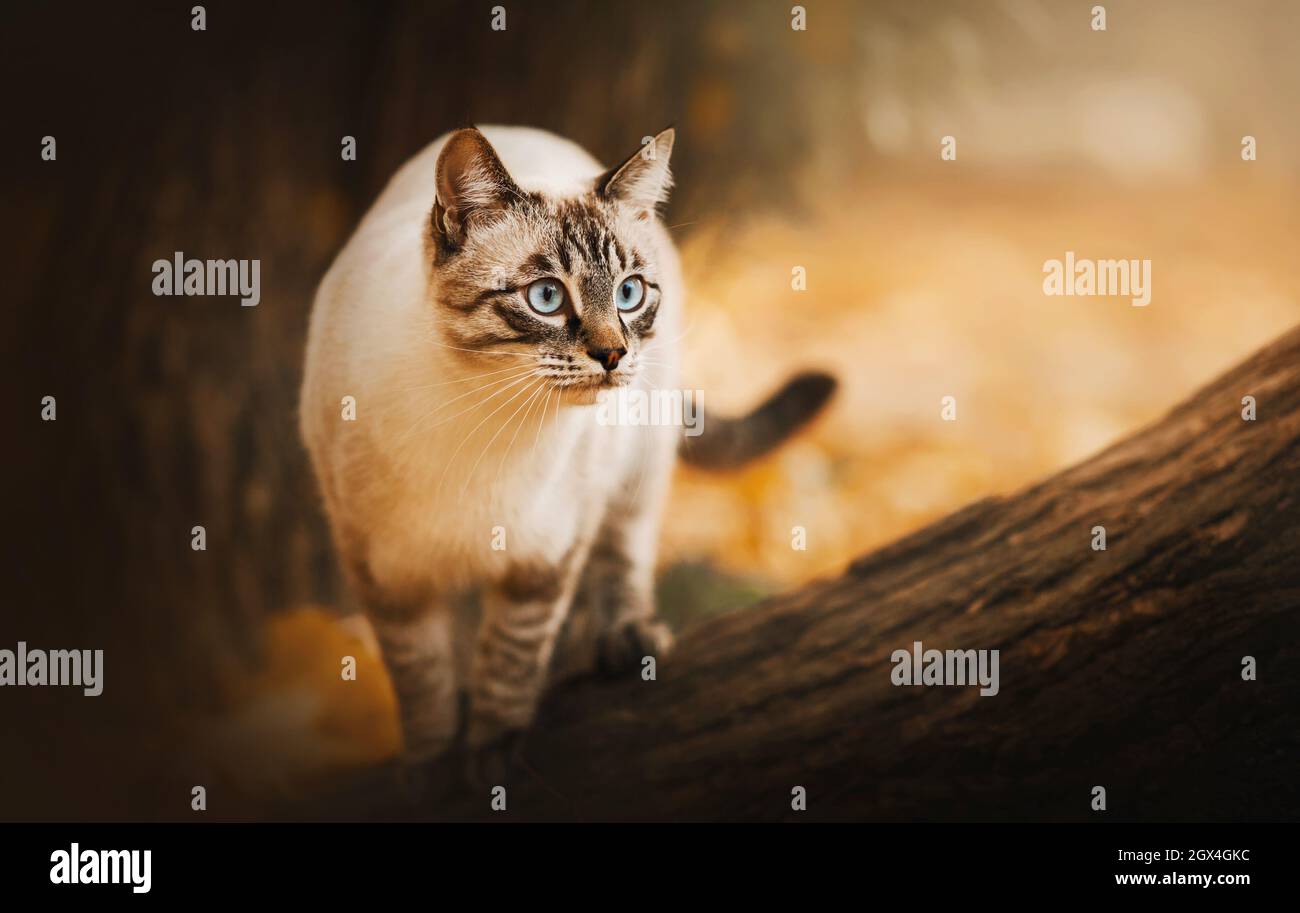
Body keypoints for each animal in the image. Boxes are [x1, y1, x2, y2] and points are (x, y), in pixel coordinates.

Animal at [297, 124, 832, 790]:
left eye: (629, 294)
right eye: (547, 297)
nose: (613, 354)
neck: (487, 419)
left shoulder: (544, 561)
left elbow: (510, 663)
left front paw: (491, 762)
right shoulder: (387, 578)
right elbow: (424, 687)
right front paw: (429, 772)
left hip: (636, 462)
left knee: (623, 550)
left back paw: (625, 641)